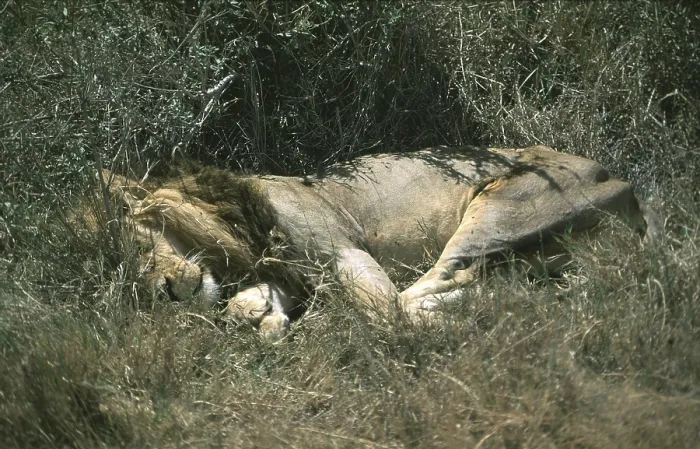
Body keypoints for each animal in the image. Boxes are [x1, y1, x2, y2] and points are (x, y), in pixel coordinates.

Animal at [98, 145, 650, 337]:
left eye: (144, 245)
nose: (162, 292)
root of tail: (619, 179)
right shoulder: (291, 273)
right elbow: (253, 298)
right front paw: (260, 314)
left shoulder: (345, 252)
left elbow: (382, 307)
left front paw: (264, 318)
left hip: (498, 208)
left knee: (415, 298)